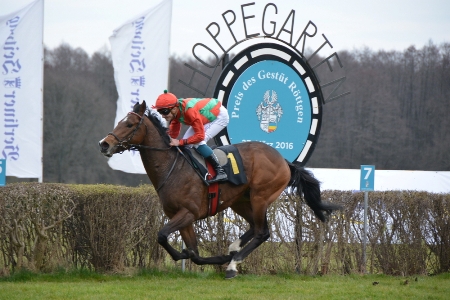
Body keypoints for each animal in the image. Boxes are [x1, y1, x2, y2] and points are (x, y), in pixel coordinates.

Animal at [97, 101, 338, 278]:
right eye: (120, 121)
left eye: (129, 124)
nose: (104, 144)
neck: (172, 168)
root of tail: (284, 160)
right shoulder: (181, 216)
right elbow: (193, 253)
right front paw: (213, 257)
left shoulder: (188, 213)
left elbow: (162, 235)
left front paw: (219, 260)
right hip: (241, 201)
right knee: (254, 227)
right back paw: (233, 249)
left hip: (261, 196)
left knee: (263, 232)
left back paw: (233, 265)